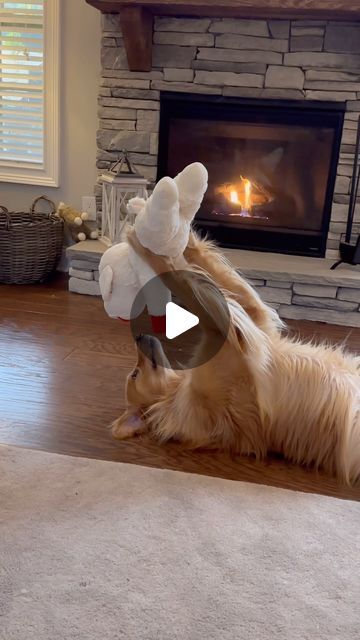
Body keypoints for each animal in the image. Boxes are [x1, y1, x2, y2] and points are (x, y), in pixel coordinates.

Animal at [112, 230, 360, 484]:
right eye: (135, 374)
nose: (139, 336)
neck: (175, 390)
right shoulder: (235, 343)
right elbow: (184, 283)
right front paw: (144, 245)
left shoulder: (255, 327)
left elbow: (221, 281)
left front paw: (184, 239)